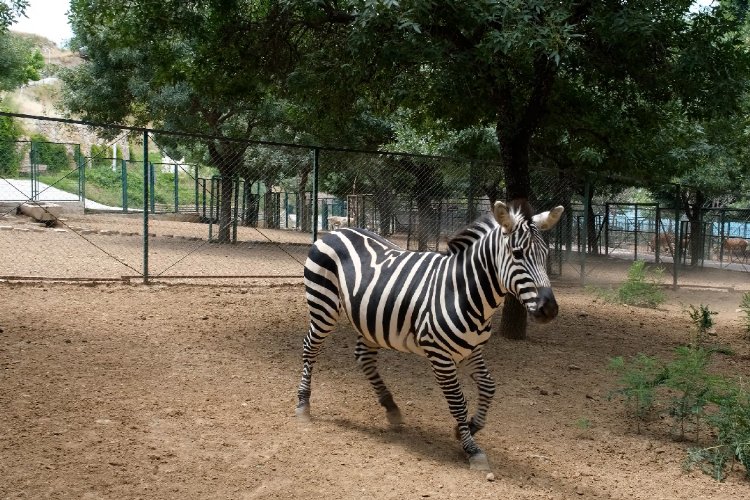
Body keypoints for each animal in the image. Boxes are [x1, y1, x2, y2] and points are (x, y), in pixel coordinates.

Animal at [296, 198, 568, 468]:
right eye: (518, 254)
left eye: (546, 255)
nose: (550, 310)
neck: (463, 292)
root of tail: (336, 231)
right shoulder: (440, 355)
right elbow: (458, 402)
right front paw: (471, 448)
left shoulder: (472, 350)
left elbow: (489, 387)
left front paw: (470, 427)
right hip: (323, 304)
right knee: (310, 347)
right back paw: (303, 404)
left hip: (370, 319)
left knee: (363, 356)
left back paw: (391, 407)